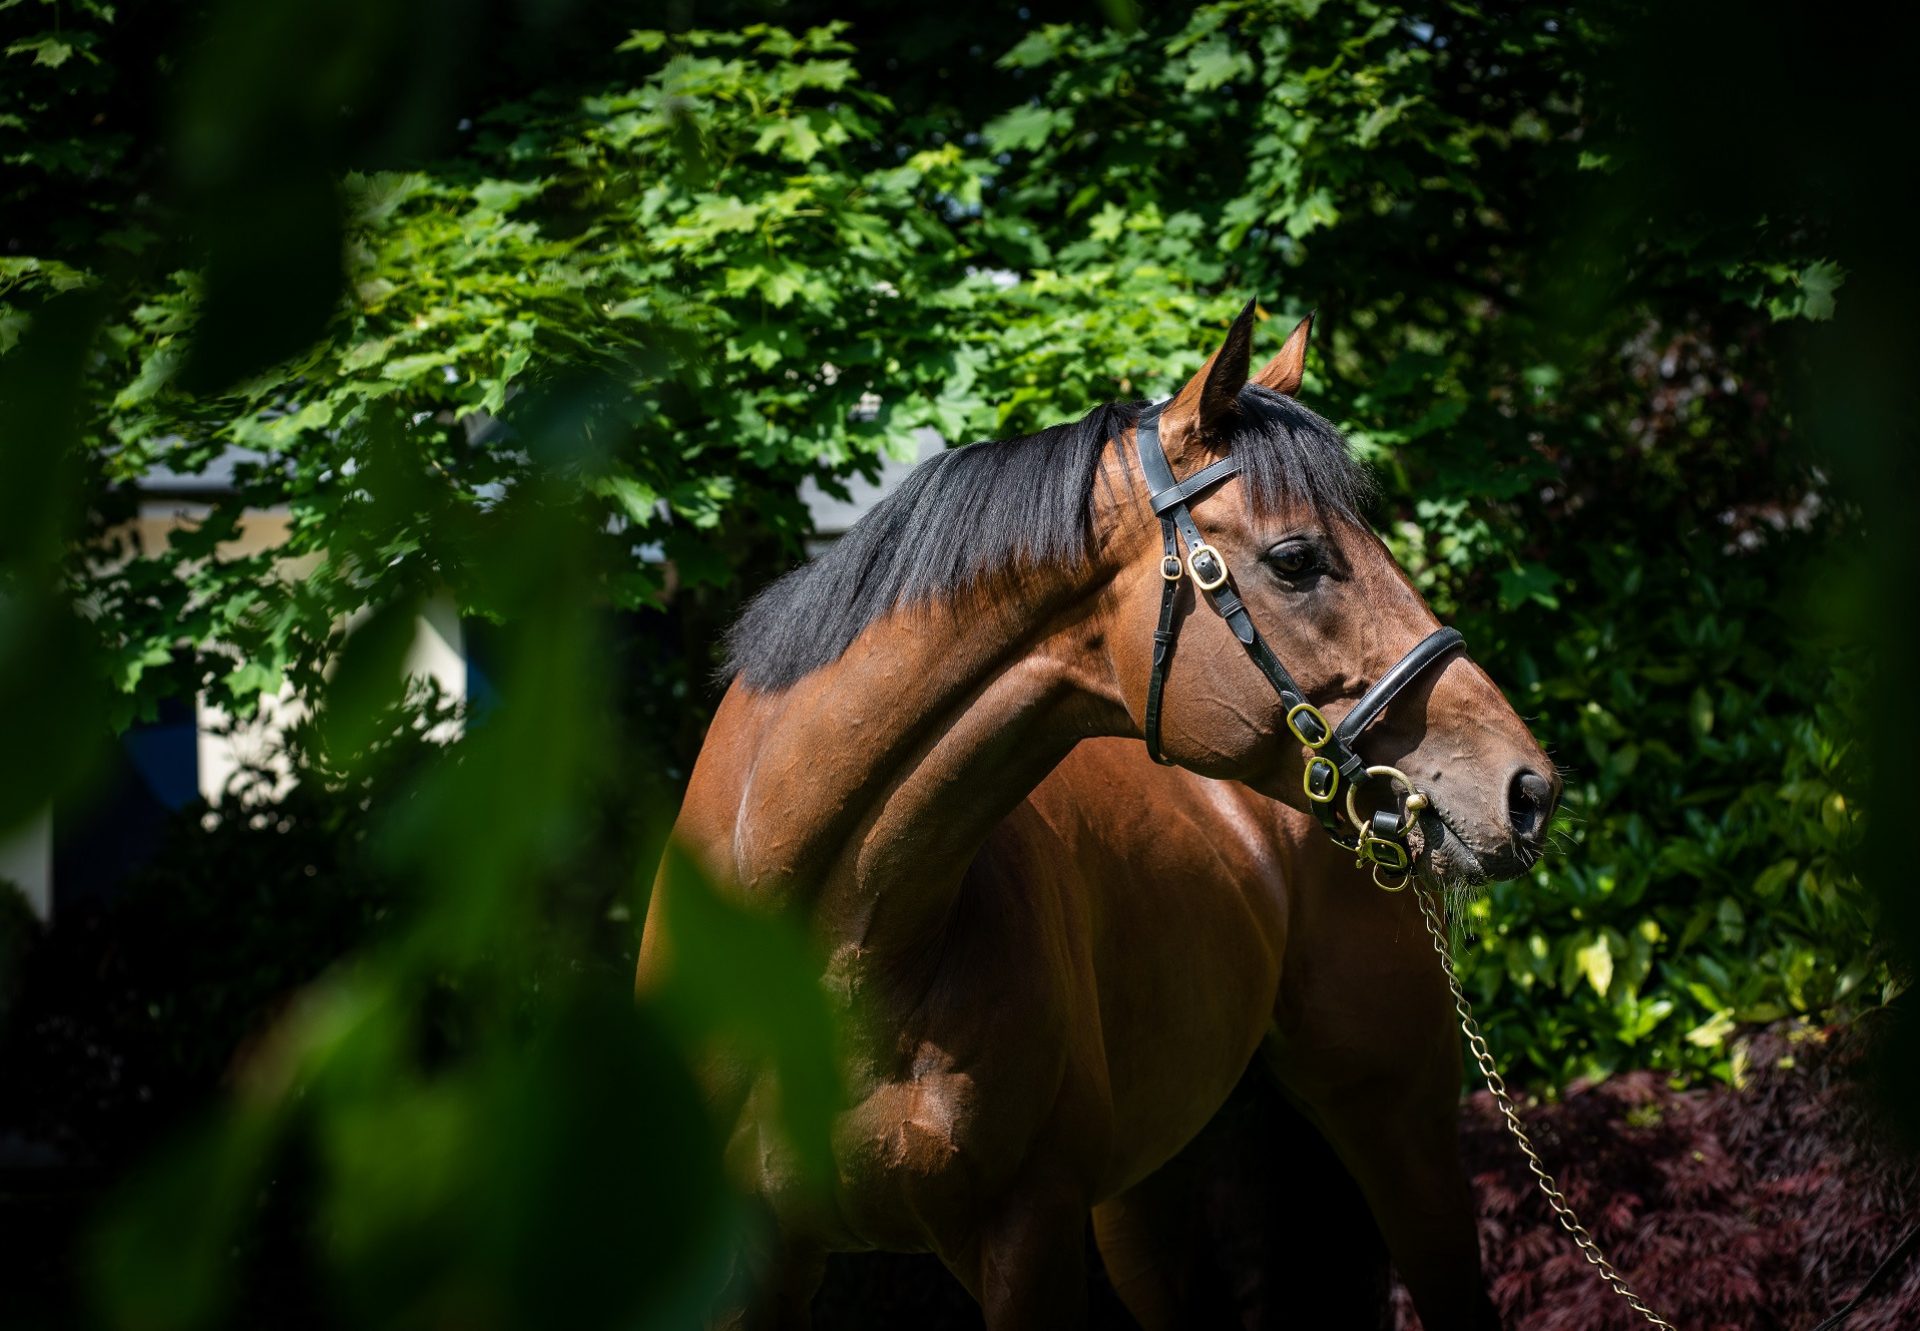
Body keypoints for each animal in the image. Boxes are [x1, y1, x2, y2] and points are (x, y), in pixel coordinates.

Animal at [645, 303, 1559, 1329]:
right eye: (1296, 559)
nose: (1527, 790)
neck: (837, 949)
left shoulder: (1027, 1235)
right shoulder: (744, 1268)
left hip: (1398, 1121)